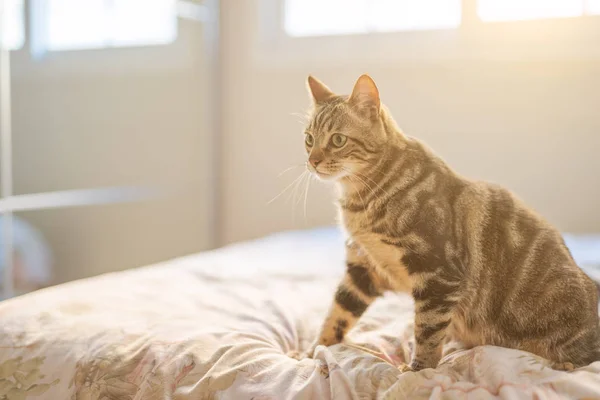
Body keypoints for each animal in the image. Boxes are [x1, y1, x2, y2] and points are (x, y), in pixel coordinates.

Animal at [296, 73, 600, 370]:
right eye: (309, 139)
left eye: (338, 140)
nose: (312, 160)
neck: (362, 198)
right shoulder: (363, 269)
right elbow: (337, 314)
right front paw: (311, 352)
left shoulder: (438, 273)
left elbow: (428, 329)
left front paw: (417, 370)